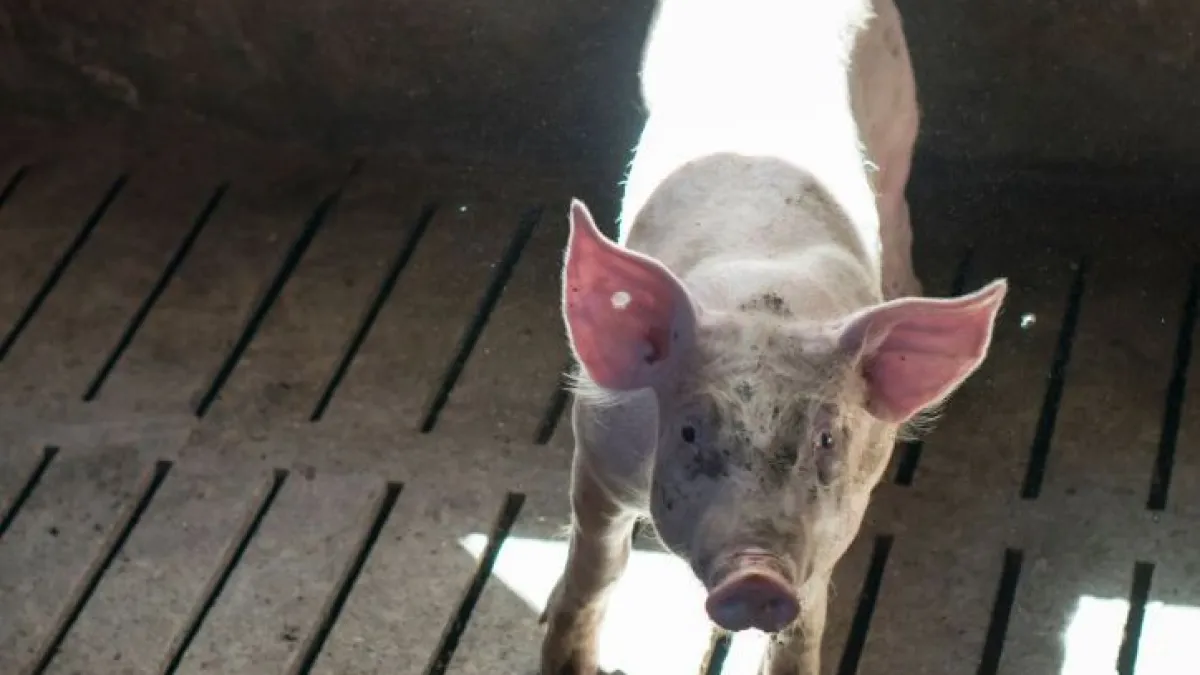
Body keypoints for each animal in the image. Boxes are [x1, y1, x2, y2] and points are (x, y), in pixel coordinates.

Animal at [539, 0, 1007, 673]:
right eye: (688, 431)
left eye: (826, 437)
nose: (756, 579)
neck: (764, 304)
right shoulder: (600, 449)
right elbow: (598, 565)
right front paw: (567, 659)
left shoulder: (846, 508)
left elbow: (807, 616)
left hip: (900, 116)